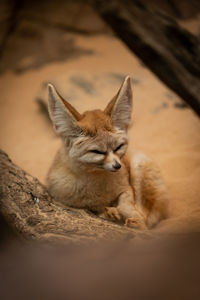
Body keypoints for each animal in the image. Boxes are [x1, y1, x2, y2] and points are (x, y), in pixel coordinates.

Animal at [46, 76, 167, 229]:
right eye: (97, 151)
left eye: (118, 147)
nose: (118, 166)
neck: (98, 184)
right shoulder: (68, 200)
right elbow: (96, 207)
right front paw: (109, 213)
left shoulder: (126, 189)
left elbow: (127, 204)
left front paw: (132, 217)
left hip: (139, 166)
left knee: (149, 214)